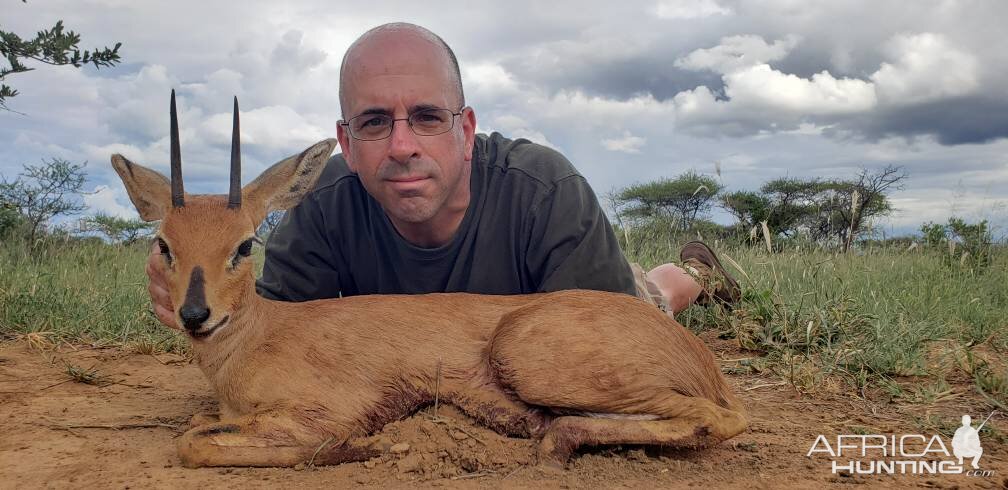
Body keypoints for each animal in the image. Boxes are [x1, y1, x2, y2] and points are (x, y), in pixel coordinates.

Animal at [112, 90, 749, 467]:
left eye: (245, 244)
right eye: (163, 244)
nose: (196, 315)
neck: (257, 337)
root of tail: (698, 357)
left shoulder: (323, 412)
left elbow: (194, 444)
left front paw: (369, 445)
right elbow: (196, 430)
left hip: (528, 357)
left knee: (723, 418)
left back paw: (555, 438)